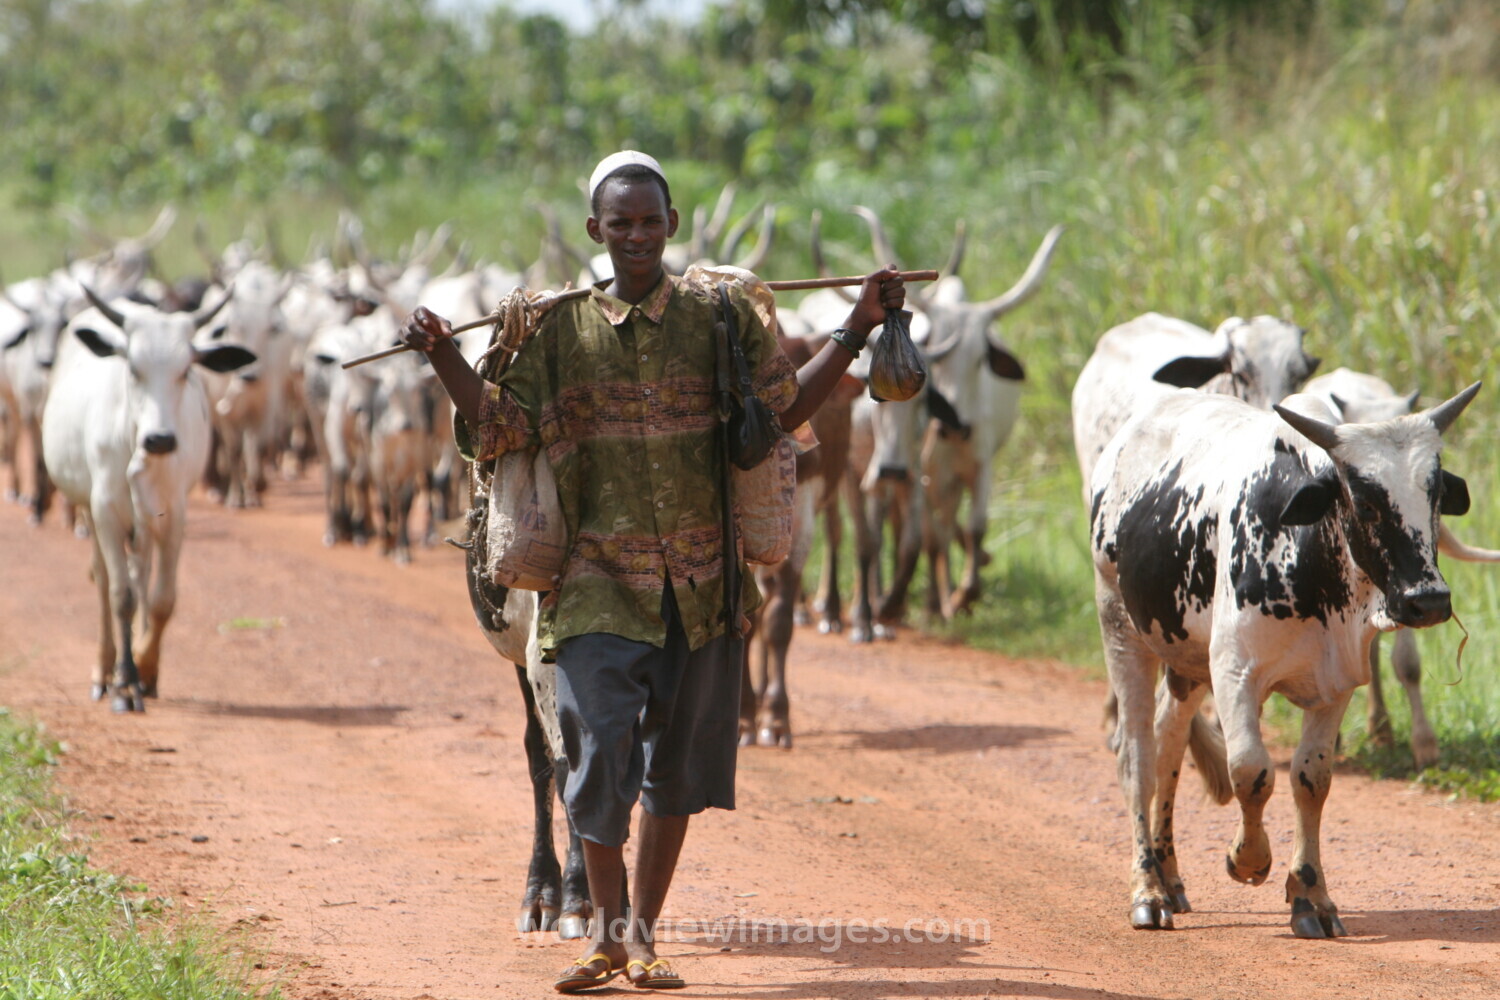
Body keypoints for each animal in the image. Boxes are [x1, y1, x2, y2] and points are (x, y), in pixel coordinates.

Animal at [41, 288, 253, 712]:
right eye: (133, 369)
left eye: (186, 371)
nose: (160, 439)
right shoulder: (104, 509)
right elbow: (121, 596)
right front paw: (124, 682)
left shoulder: (173, 514)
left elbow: (161, 600)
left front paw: (147, 666)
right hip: (90, 509)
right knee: (106, 582)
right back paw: (105, 670)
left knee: (141, 573)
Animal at [1088, 381, 1479, 937]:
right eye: (1364, 500)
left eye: (1436, 495)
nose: (1427, 601)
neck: (1308, 553)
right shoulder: (1235, 672)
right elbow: (1251, 771)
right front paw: (1247, 860)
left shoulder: (1336, 683)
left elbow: (1310, 781)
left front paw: (1310, 897)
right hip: (1120, 628)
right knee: (1136, 755)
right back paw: (1148, 891)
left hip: (1183, 657)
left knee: (1168, 741)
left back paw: (1170, 877)